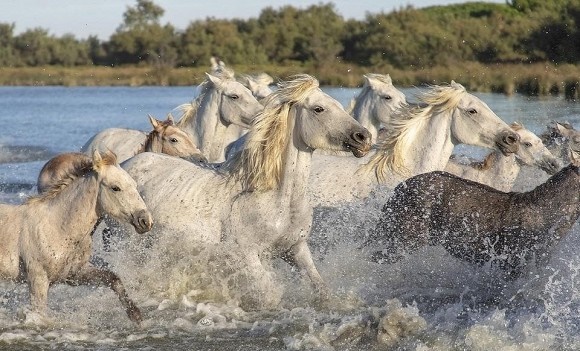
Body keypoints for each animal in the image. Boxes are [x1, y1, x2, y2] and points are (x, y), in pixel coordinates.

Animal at [0, 151, 153, 324]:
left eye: (134, 185)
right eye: (115, 188)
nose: (145, 221)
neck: (56, 226)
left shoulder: (75, 274)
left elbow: (113, 278)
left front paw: (135, 314)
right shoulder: (38, 279)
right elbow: (40, 313)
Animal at [119, 75, 372, 310]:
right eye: (319, 109)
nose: (364, 137)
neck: (278, 199)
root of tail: (125, 164)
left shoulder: (296, 249)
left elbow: (321, 289)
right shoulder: (247, 255)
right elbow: (270, 295)